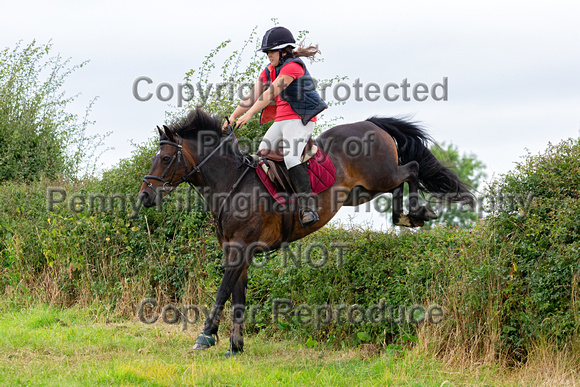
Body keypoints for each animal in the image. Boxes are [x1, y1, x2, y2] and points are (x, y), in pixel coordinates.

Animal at [138, 107, 474, 358]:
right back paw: (403, 216)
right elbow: (237, 297)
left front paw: (206, 336)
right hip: (363, 190)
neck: (232, 183)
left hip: (380, 175)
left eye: (165, 159)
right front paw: (236, 346)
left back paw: (415, 214)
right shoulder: (238, 252)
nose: (144, 196)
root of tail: (370, 123)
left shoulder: (240, 248)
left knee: (412, 169)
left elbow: (222, 292)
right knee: (401, 182)